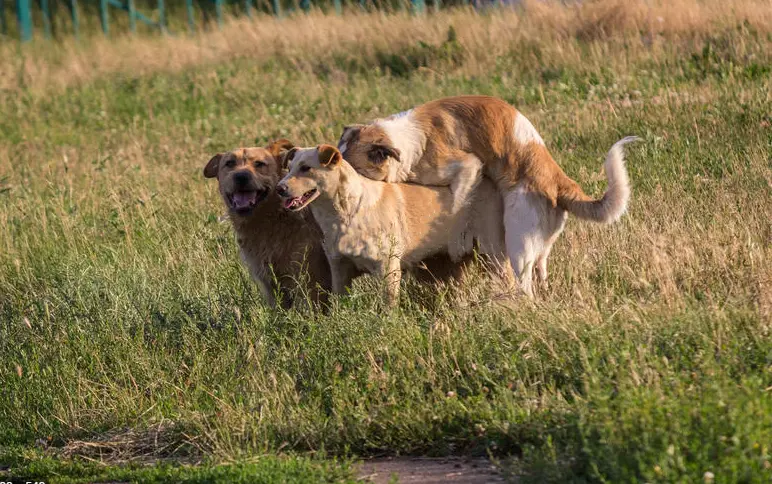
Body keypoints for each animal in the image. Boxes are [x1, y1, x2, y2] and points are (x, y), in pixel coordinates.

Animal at [274, 144, 510, 308]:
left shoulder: (388, 269)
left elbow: (388, 310)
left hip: (494, 254)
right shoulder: (339, 268)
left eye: (306, 168)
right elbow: (338, 305)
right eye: (289, 168)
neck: (344, 214)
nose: (279, 188)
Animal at [338, 94, 640, 294]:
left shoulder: (465, 165)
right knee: (541, 267)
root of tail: (559, 182)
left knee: (523, 283)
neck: (407, 139)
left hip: (518, 237)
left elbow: (459, 197)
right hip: (539, 242)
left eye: (351, 169)